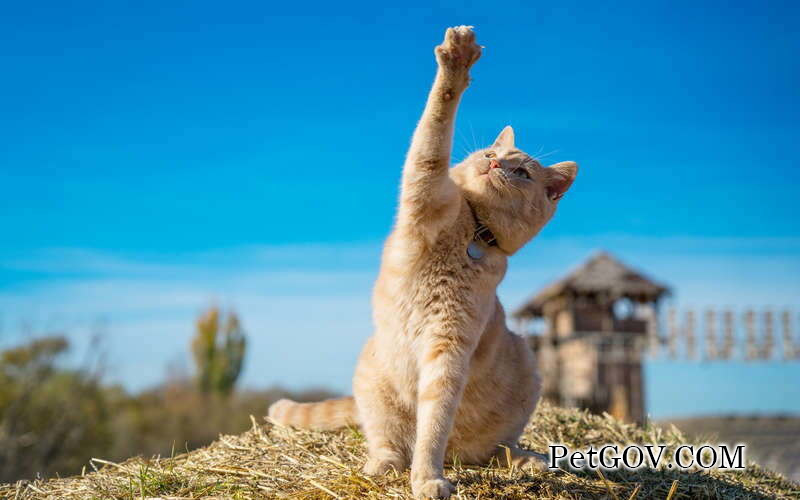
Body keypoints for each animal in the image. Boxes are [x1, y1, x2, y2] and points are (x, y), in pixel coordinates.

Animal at [268, 27, 576, 500]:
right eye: (489, 152)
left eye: (522, 172)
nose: (493, 162)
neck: (474, 233)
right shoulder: (426, 188)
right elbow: (434, 129)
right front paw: (456, 63)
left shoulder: (448, 349)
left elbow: (434, 422)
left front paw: (427, 475)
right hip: (374, 379)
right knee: (386, 442)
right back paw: (382, 465)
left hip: (526, 364)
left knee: (496, 448)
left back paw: (525, 459)